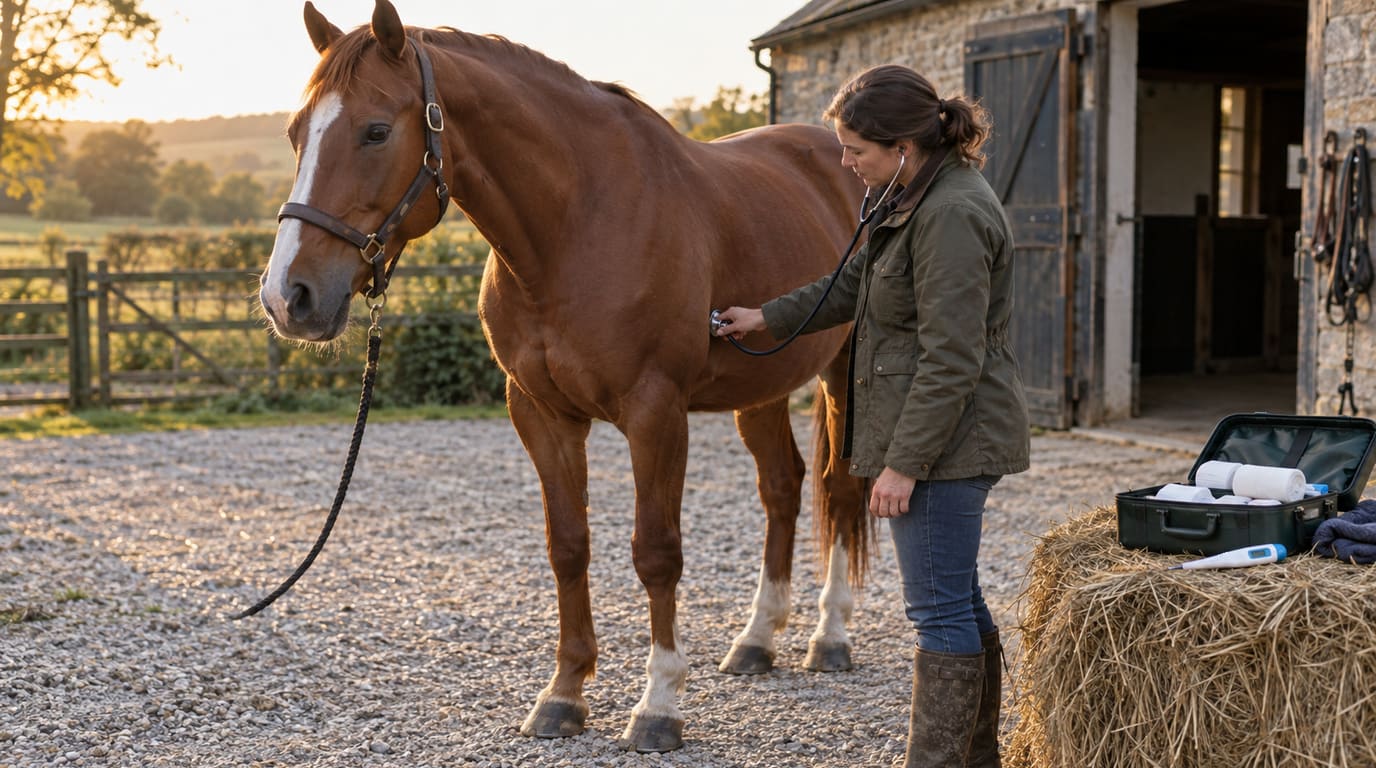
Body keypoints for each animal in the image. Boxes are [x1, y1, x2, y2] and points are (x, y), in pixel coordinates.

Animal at [259, 0, 870, 752]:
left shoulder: (654, 413)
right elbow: (568, 547)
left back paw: (830, 635)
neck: (574, 228)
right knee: (782, 488)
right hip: (760, 387)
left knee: (841, 489)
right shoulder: (541, 414)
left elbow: (655, 553)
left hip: (842, 372)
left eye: (375, 130)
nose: (288, 296)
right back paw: (757, 640)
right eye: (296, 133)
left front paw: (658, 704)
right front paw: (564, 694)